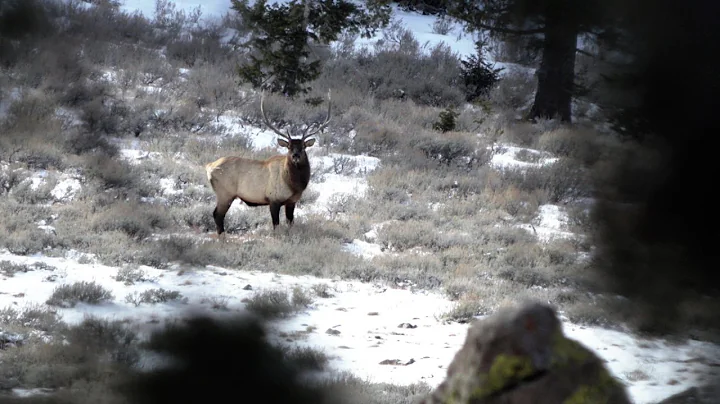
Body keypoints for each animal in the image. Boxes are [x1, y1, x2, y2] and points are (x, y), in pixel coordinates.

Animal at [204, 90, 331, 236]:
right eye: (289, 147)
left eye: (303, 147)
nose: (295, 156)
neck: (294, 184)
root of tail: (209, 167)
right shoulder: (273, 200)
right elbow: (276, 225)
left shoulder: (291, 201)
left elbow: (290, 223)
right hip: (225, 194)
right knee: (217, 215)